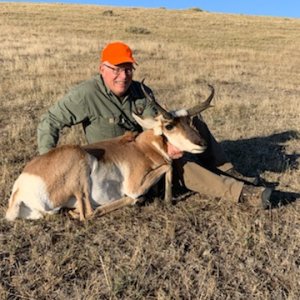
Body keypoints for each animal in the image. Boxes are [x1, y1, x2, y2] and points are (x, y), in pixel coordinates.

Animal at [5, 83, 216, 221]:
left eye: (190, 121)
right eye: (170, 126)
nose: (202, 143)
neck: (143, 147)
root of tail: (20, 187)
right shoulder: (135, 184)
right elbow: (168, 165)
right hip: (80, 166)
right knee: (89, 213)